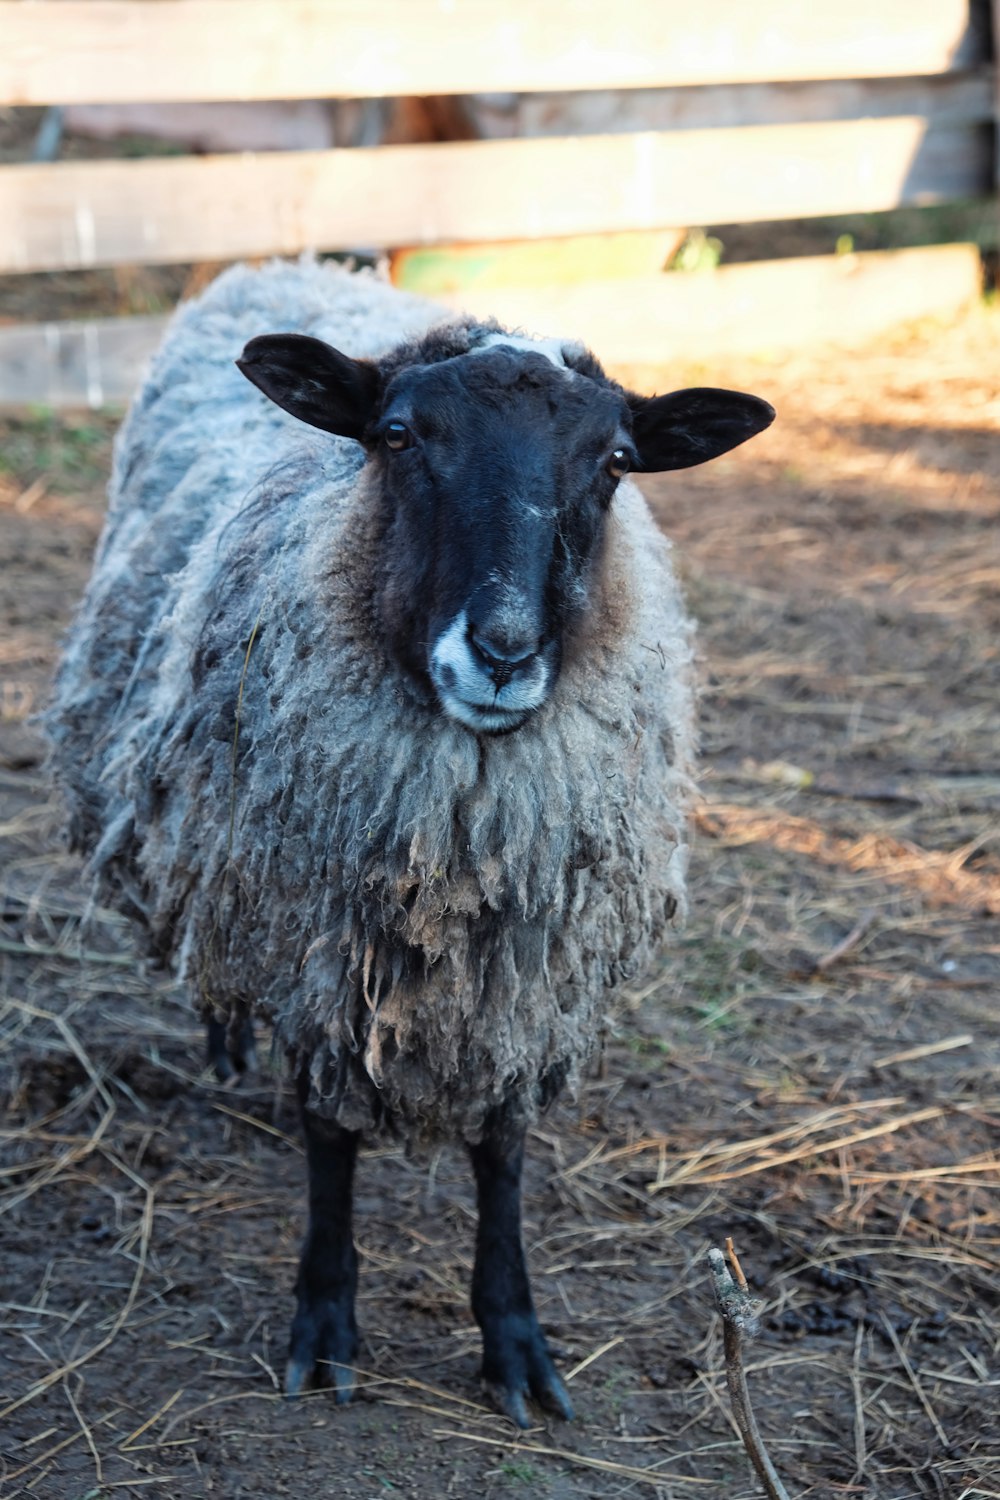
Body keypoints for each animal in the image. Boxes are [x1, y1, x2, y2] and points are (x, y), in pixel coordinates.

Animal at [46, 261, 779, 1428]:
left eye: (616, 461)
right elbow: (328, 1137)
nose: (504, 652)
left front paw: (515, 1343)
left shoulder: (523, 969)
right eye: (396, 435)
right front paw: (324, 1328)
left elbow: (504, 1151)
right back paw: (222, 1035)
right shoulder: (317, 941)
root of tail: (295, 266)